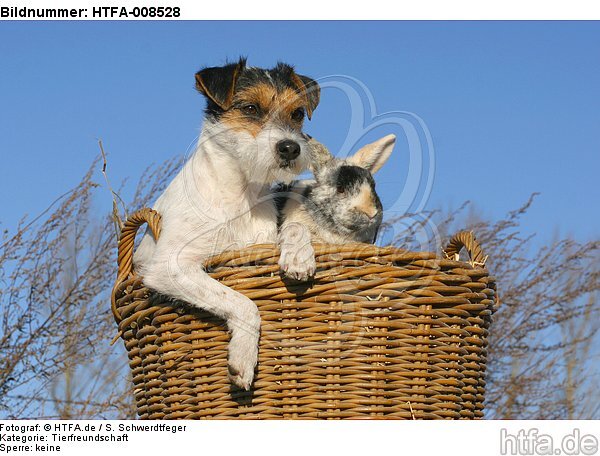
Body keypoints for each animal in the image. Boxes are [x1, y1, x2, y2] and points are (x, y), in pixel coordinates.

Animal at [134, 58, 322, 390]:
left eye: (298, 113)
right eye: (249, 108)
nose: (290, 148)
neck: (239, 195)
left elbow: (294, 226)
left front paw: (299, 257)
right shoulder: (170, 266)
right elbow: (242, 302)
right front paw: (244, 358)